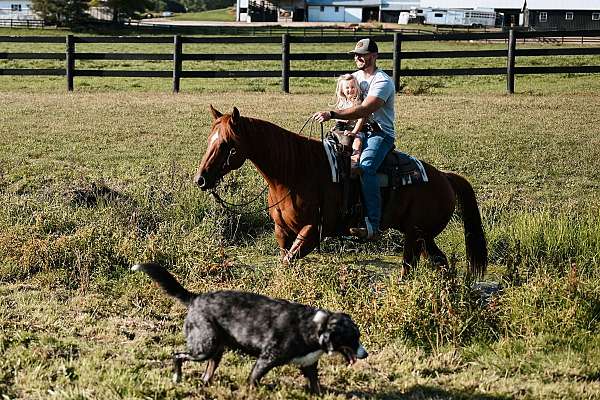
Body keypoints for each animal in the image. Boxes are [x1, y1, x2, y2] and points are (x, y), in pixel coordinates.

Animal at [131, 262, 366, 394]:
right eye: (352, 338)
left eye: (358, 336)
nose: (365, 354)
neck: (315, 327)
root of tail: (196, 298)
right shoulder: (265, 360)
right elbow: (253, 381)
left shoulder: (309, 366)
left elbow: (316, 388)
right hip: (203, 349)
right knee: (177, 355)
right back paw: (177, 378)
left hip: (216, 352)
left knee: (205, 375)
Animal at [195, 106, 486, 276]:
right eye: (210, 140)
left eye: (227, 144)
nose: (201, 179)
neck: (294, 172)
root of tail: (444, 178)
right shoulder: (282, 231)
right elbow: (285, 259)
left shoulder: (313, 231)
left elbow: (289, 260)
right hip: (424, 236)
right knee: (440, 262)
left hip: (415, 237)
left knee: (410, 267)